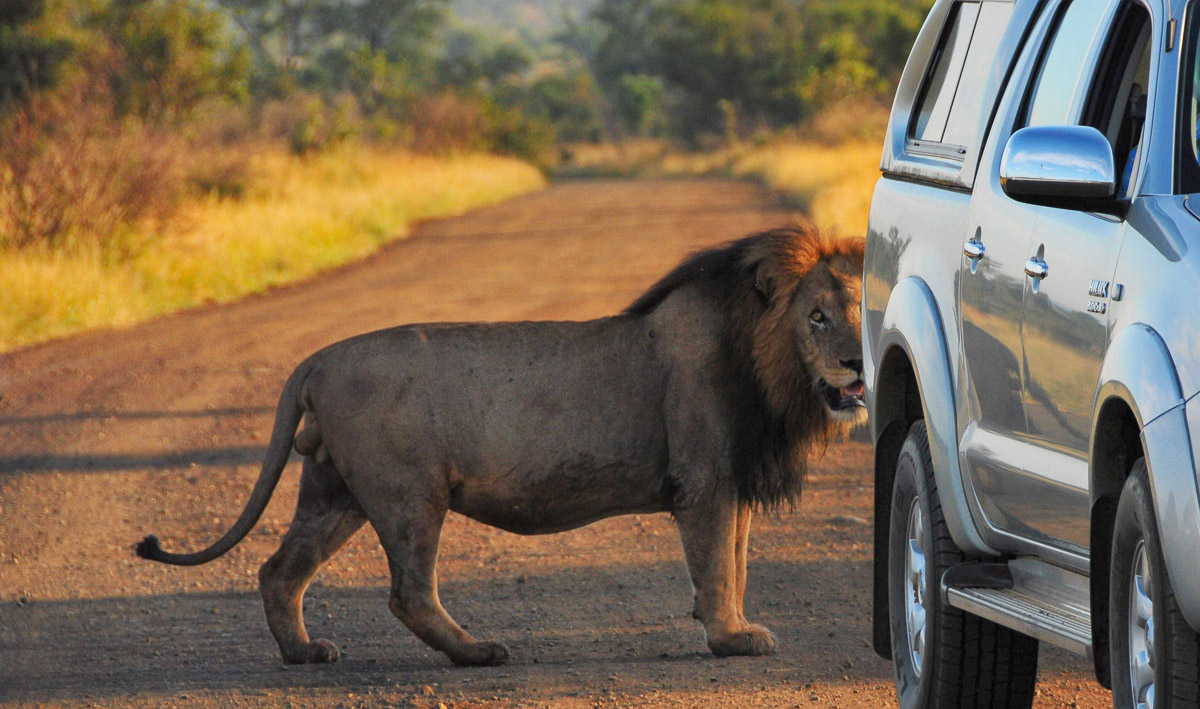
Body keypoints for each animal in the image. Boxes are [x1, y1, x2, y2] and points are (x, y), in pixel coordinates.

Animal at [136, 224, 866, 667]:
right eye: (817, 317)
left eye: (866, 310)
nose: (858, 364)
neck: (767, 364)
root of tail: (314, 360)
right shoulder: (706, 480)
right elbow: (717, 564)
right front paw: (731, 638)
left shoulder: (733, 479)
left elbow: (734, 562)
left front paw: (734, 628)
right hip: (408, 494)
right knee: (408, 592)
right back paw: (477, 652)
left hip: (333, 490)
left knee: (279, 570)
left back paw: (305, 653)